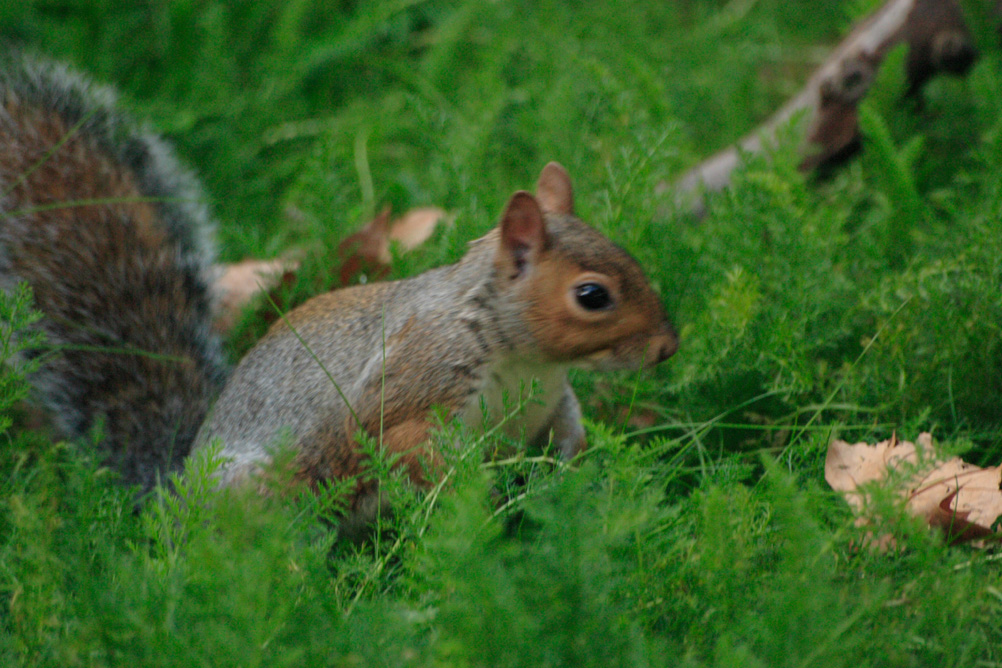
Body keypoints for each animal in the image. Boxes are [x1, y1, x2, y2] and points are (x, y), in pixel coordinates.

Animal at [1, 54, 677, 521]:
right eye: (592, 296)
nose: (668, 347)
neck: (518, 358)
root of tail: (175, 491)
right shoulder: (415, 386)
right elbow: (412, 448)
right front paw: (477, 501)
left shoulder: (550, 401)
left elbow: (567, 430)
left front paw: (570, 473)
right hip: (266, 493)